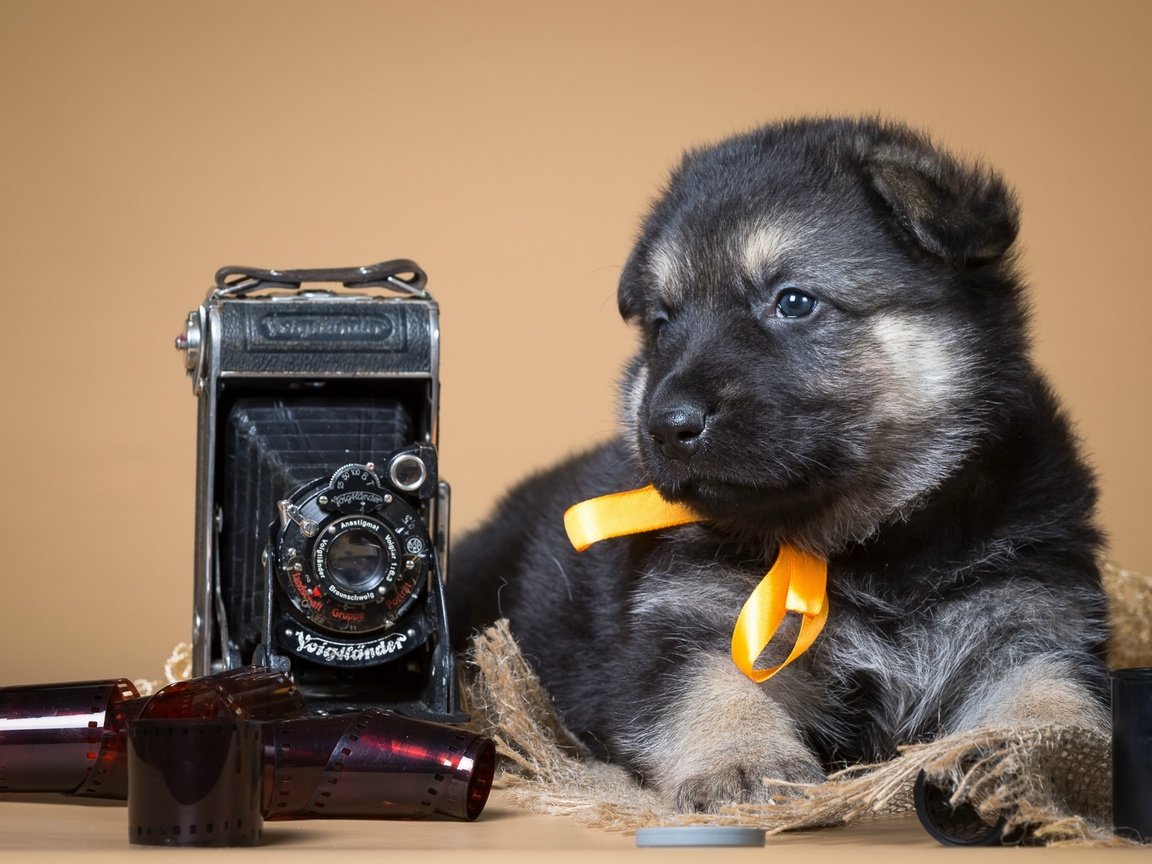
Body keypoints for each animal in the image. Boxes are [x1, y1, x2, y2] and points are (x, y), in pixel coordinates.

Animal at [446, 118, 1105, 815]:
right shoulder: (688, 621)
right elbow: (711, 689)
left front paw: (1046, 759)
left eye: (793, 302)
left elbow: (1050, 695)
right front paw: (742, 759)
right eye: (662, 324)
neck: (869, 546)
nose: (667, 424)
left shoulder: (1032, 618)